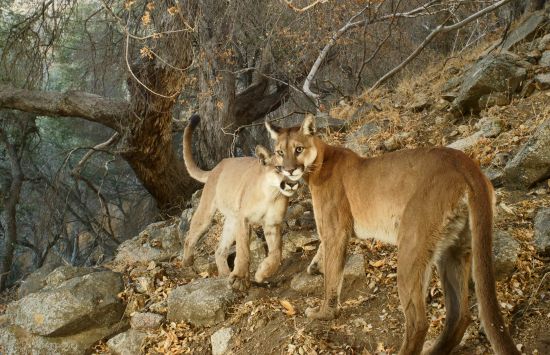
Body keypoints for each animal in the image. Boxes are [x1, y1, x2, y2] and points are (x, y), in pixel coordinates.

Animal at [183, 115, 300, 290]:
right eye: (279, 168)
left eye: (298, 167)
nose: (292, 184)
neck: (271, 194)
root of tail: (218, 166)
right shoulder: (244, 219)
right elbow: (243, 249)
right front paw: (239, 278)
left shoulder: (272, 224)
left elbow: (276, 253)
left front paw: (261, 273)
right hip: (207, 213)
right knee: (190, 237)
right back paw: (187, 262)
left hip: (232, 221)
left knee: (219, 249)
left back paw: (224, 274)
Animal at [266, 116, 520, 355]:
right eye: (280, 152)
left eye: (298, 149)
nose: (289, 169)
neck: (320, 161)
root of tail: (467, 164)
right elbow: (324, 253)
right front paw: (315, 265)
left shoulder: (335, 230)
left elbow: (332, 276)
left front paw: (324, 313)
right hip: (454, 249)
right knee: (460, 315)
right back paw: (434, 350)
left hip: (411, 245)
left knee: (418, 322)